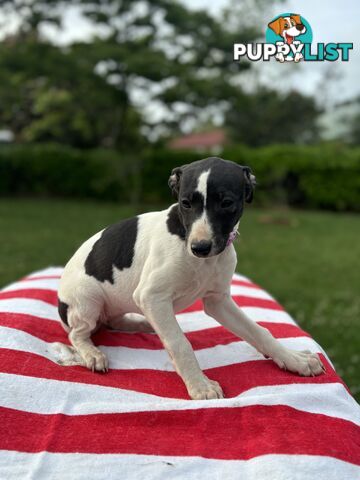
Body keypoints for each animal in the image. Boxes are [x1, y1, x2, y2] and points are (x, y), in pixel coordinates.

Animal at [57, 158, 324, 402]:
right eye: (185, 203)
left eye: (226, 203)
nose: (200, 247)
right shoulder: (151, 296)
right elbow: (179, 342)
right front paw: (200, 385)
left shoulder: (218, 301)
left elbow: (258, 330)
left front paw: (293, 359)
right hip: (88, 301)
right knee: (77, 334)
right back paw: (91, 353)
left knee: (113, 321)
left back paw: (143, 324)